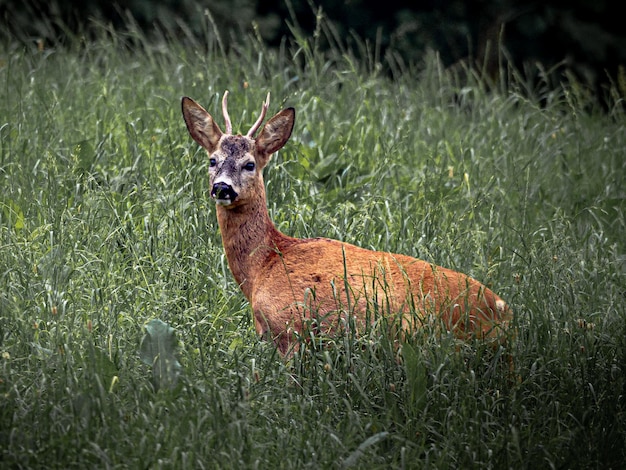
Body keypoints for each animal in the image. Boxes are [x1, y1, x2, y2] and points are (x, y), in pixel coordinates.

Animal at [179, 91, 508, 356]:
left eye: (249, 164)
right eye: (212, 160)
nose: (222, 187)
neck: (264, 264)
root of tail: (503, 309)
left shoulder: (291, 328)